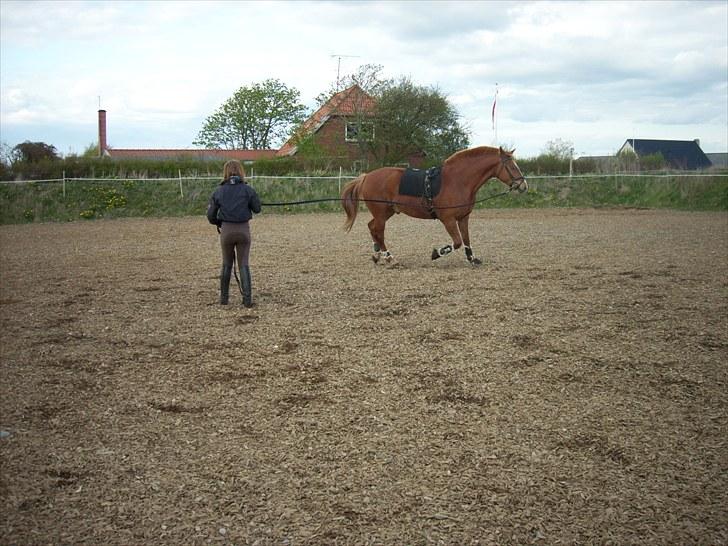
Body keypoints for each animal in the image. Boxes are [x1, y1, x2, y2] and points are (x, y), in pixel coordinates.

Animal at [344, 143, 528, 264]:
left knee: (372, 227)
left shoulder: (463, 218)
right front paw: (436, 253)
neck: (458, 180)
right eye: (512, 166)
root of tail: (367, 176)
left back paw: (377, 255)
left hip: (386, 212)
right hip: (381, 213)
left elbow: (466, 239)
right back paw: (389, 257)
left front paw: (471, 258)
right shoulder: (448, 219)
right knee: (379, 232)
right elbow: (457, 242)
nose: (523, 186)